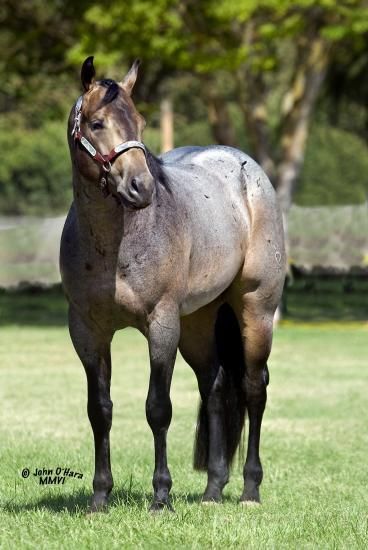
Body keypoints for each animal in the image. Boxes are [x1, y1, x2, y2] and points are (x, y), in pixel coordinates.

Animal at [59, 58, 284, 516]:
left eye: (141, 122)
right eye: (96, 123)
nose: (141, 187)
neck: (115, 244)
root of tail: (246, 167)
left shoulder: (161, 326)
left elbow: (157, 408)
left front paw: (161, 496)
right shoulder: (87, 332)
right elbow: (99, 410)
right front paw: (99, 496)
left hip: (255, 311)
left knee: (254, 389)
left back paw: (250, 490)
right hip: (198, 324)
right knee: (215, 388)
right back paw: (213, 490)